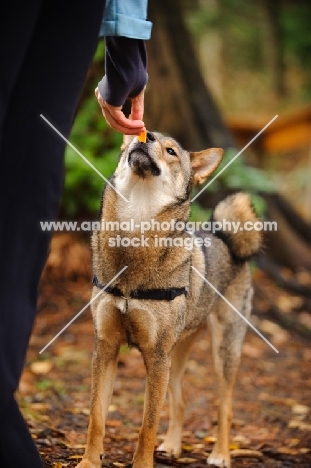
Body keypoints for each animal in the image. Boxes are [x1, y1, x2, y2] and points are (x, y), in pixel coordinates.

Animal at [77, 132, 262, 468]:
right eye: (142, 133)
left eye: (172, 151)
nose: (144, 135)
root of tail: (227, 239)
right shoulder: (106, 349)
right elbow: (96, 417)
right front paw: (88, 462)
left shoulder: (156, 357)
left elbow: (147, 426)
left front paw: (141, 464)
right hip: (175, 359)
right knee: (181, 400)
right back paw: (174, 445)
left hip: (221, 353)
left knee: (225, 407)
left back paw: (220, 454)